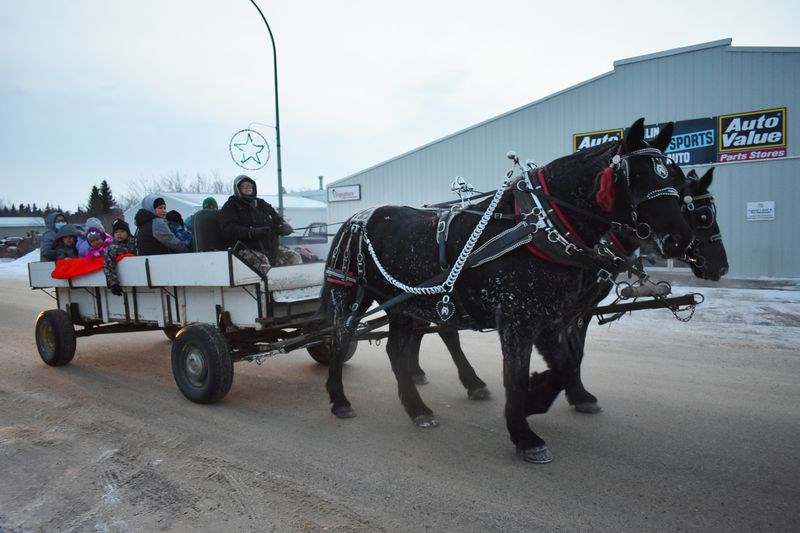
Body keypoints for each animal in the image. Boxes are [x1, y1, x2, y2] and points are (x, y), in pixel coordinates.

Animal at [318, 117, 692, 462]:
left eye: (673, 176)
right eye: (638, 175)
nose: (680, 239)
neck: (537, 226)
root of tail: (354, 219)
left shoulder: (551, 317)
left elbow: (565, 364)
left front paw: (536, 400)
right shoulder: (517, 317)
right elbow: (516, 374)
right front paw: (525, 435)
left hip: (400, 305)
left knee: (396, 351)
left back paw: (417, 408)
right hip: (349, 294)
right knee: (339, 341)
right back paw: (339, 400)